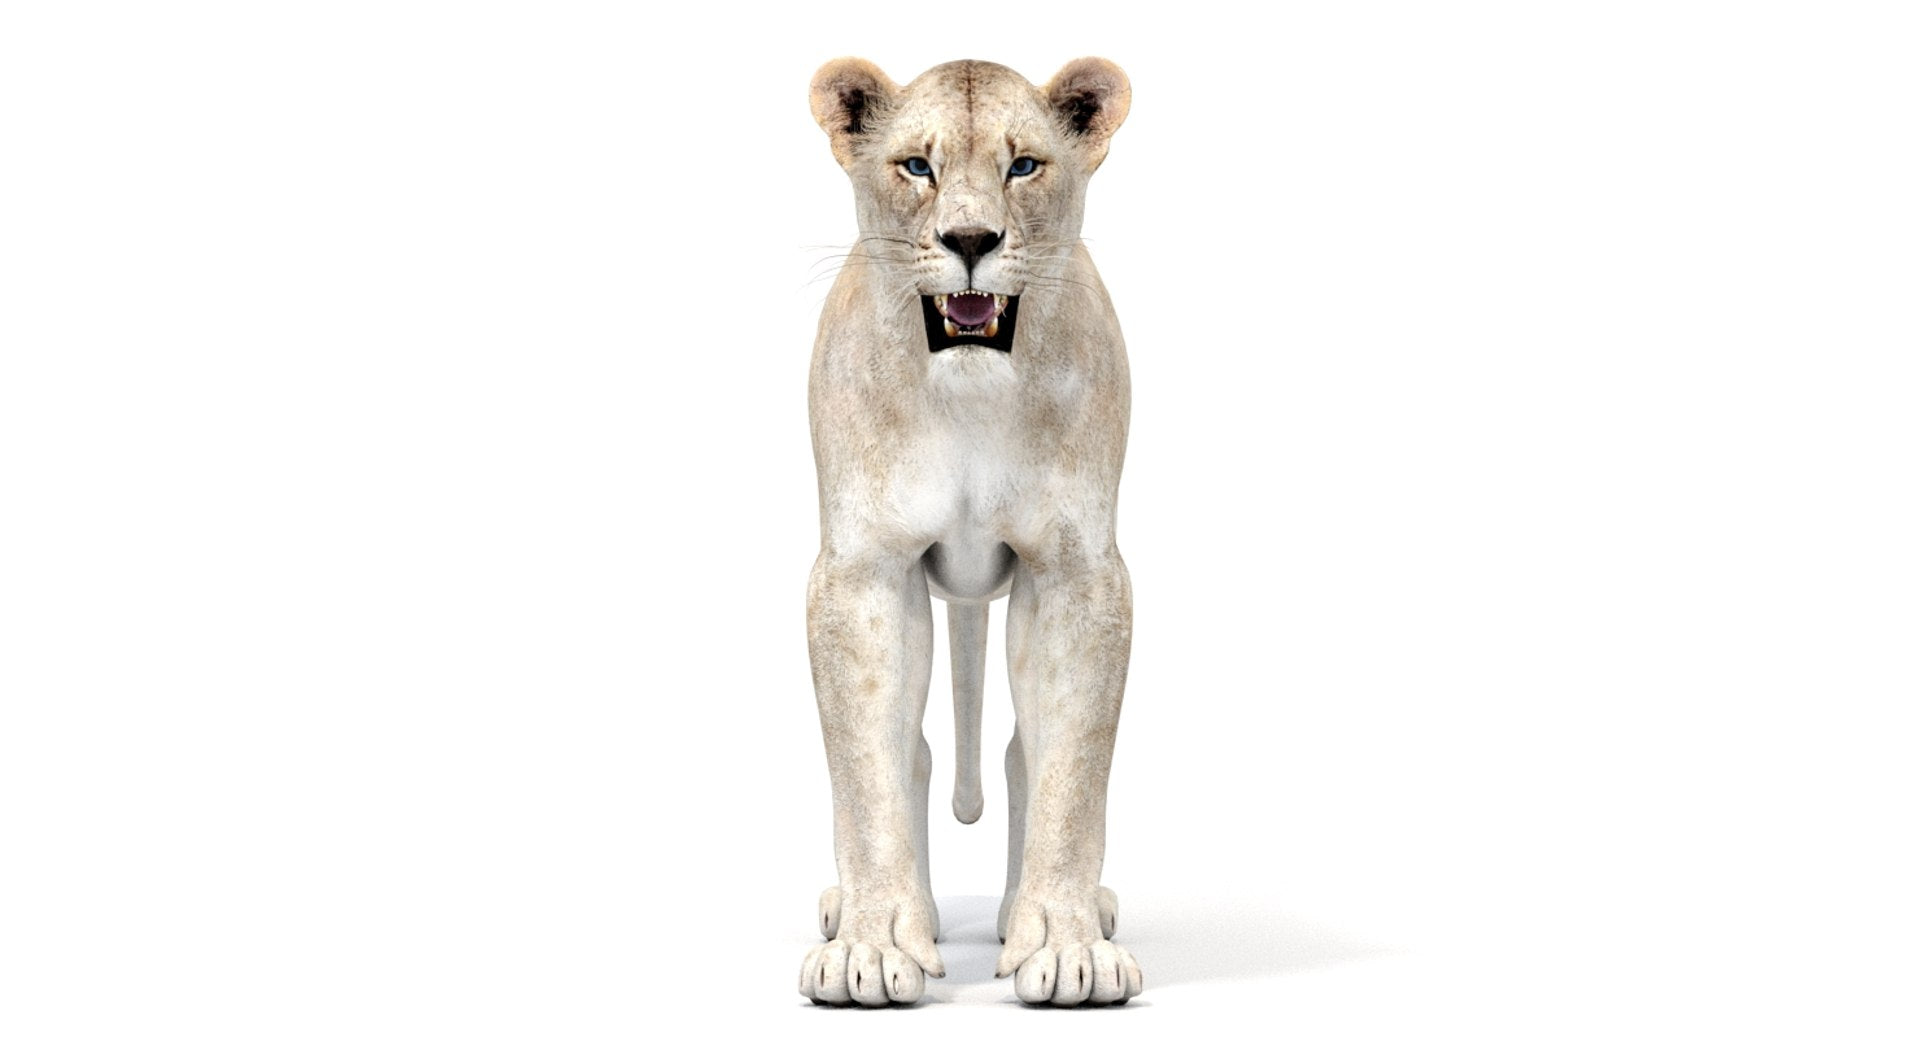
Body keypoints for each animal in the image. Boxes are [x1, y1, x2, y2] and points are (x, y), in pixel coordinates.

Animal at [798, 57, 1142, 1007]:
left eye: (1023, 166)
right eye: (918, 166)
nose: (971, 239)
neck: (970, 393)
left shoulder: (1077, 571)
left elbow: (1069, 772)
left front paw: (1063, 944)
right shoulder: (863, 571)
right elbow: (870, 770)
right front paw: (873, 946)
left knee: (1023, 754)